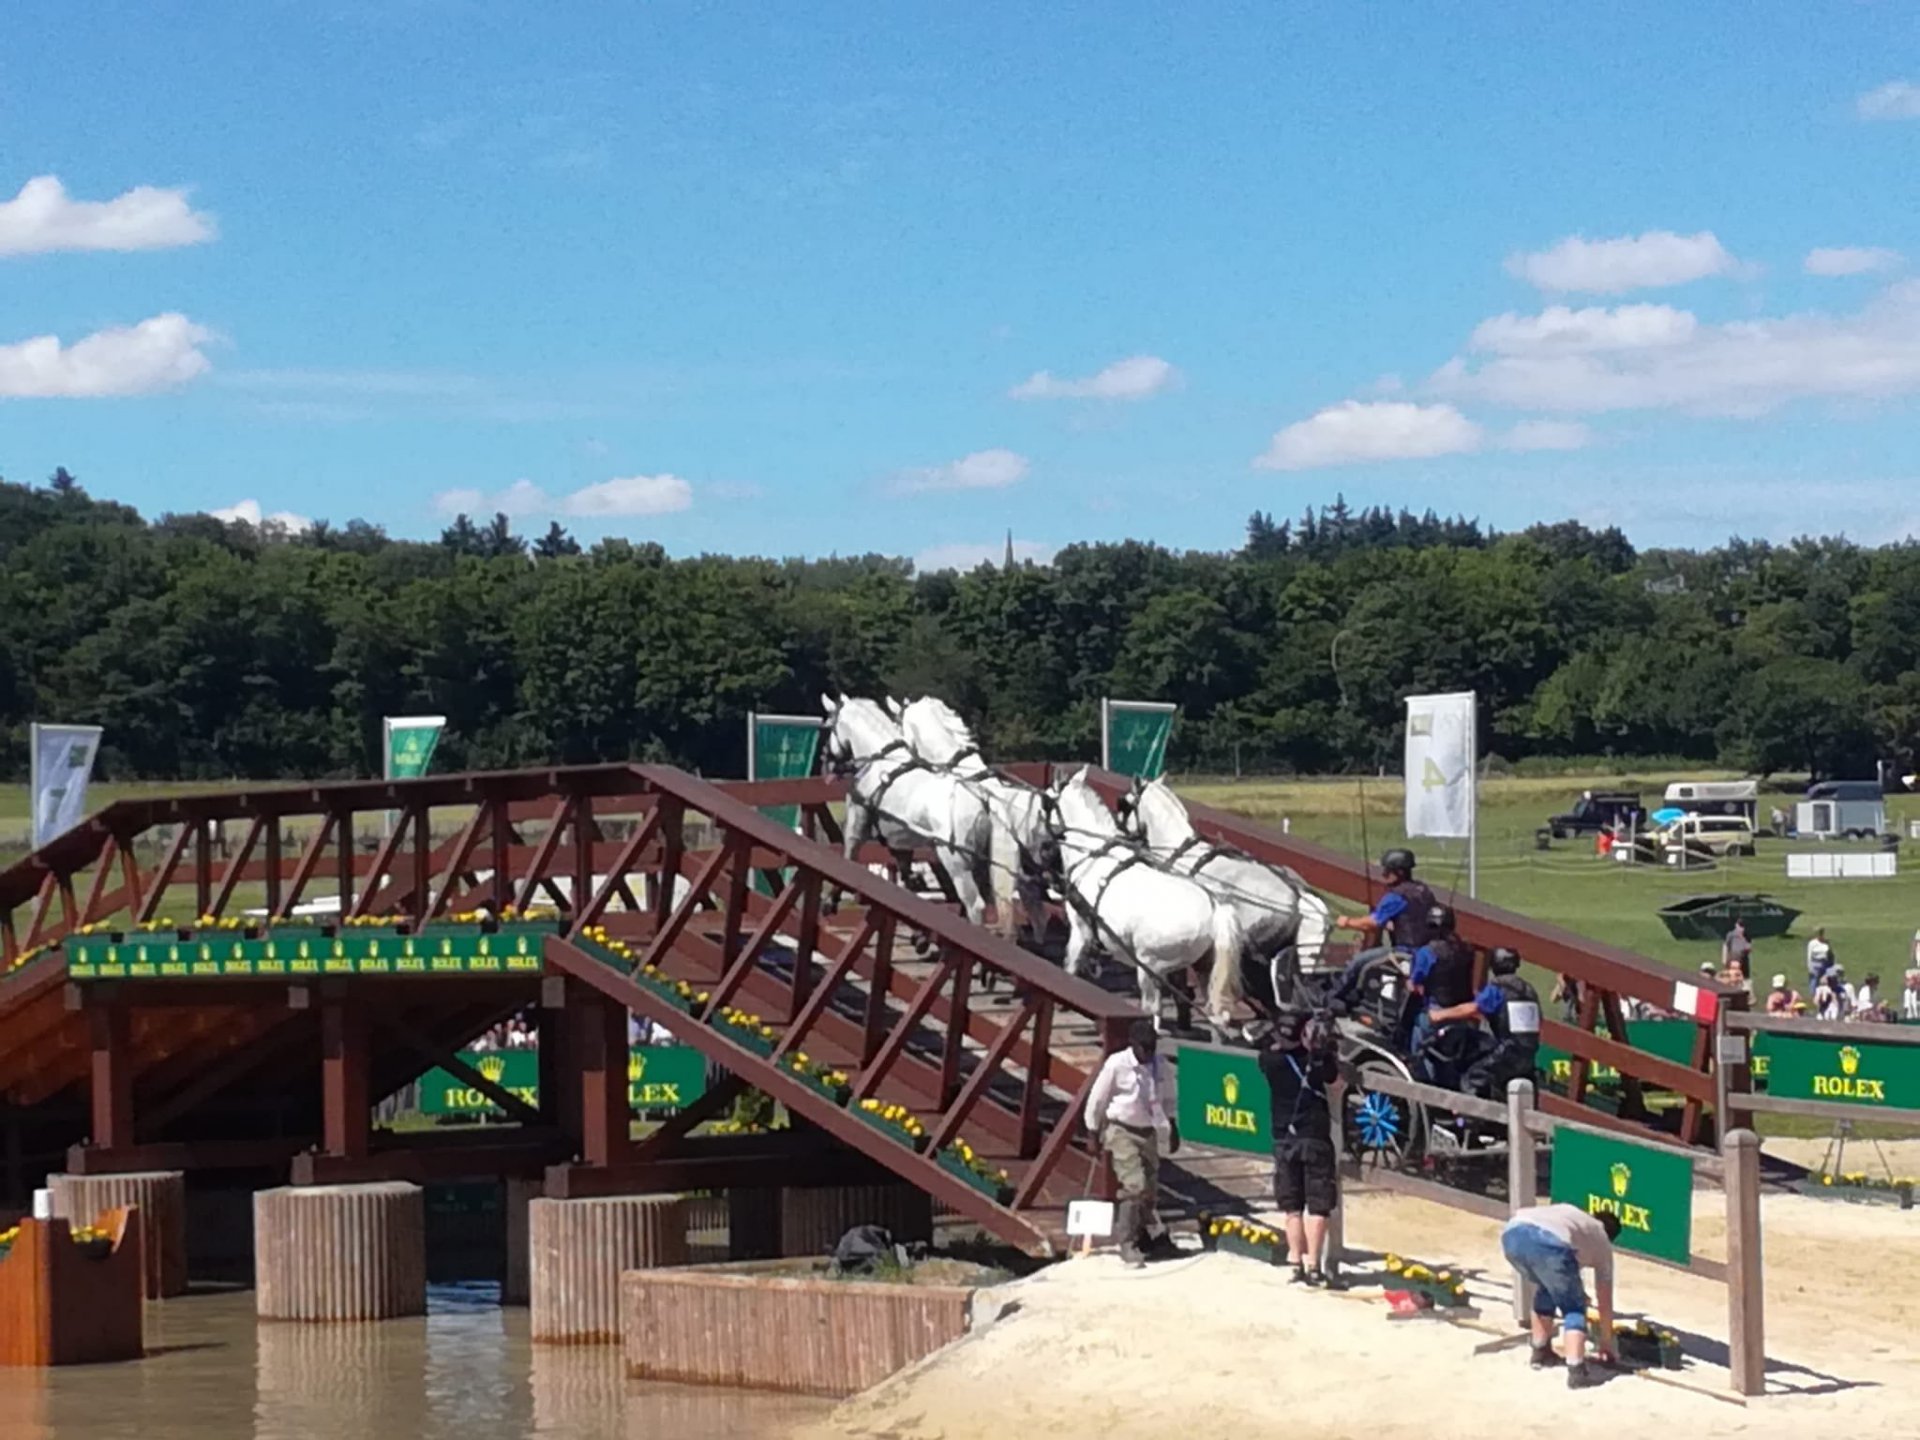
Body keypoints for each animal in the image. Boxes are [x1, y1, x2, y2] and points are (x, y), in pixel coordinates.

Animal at [817, 695, 990, 925]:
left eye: (828, 727)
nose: (824, 763)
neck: (880, 762)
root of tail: (981, 805)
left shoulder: (857, 822)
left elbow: (849, 856)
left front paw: (830, 901)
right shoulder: (898, 839)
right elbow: (906, 874)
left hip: (956, 861)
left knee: (974, 904)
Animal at [1044, 768, 1251, 1036]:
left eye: (1046, 800)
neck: (1093, 854)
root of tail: (1216, 911)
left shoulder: (1081, 930)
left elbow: (1071, 964)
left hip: (1149, 964)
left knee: (1153, 1010)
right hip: (1205, 969)